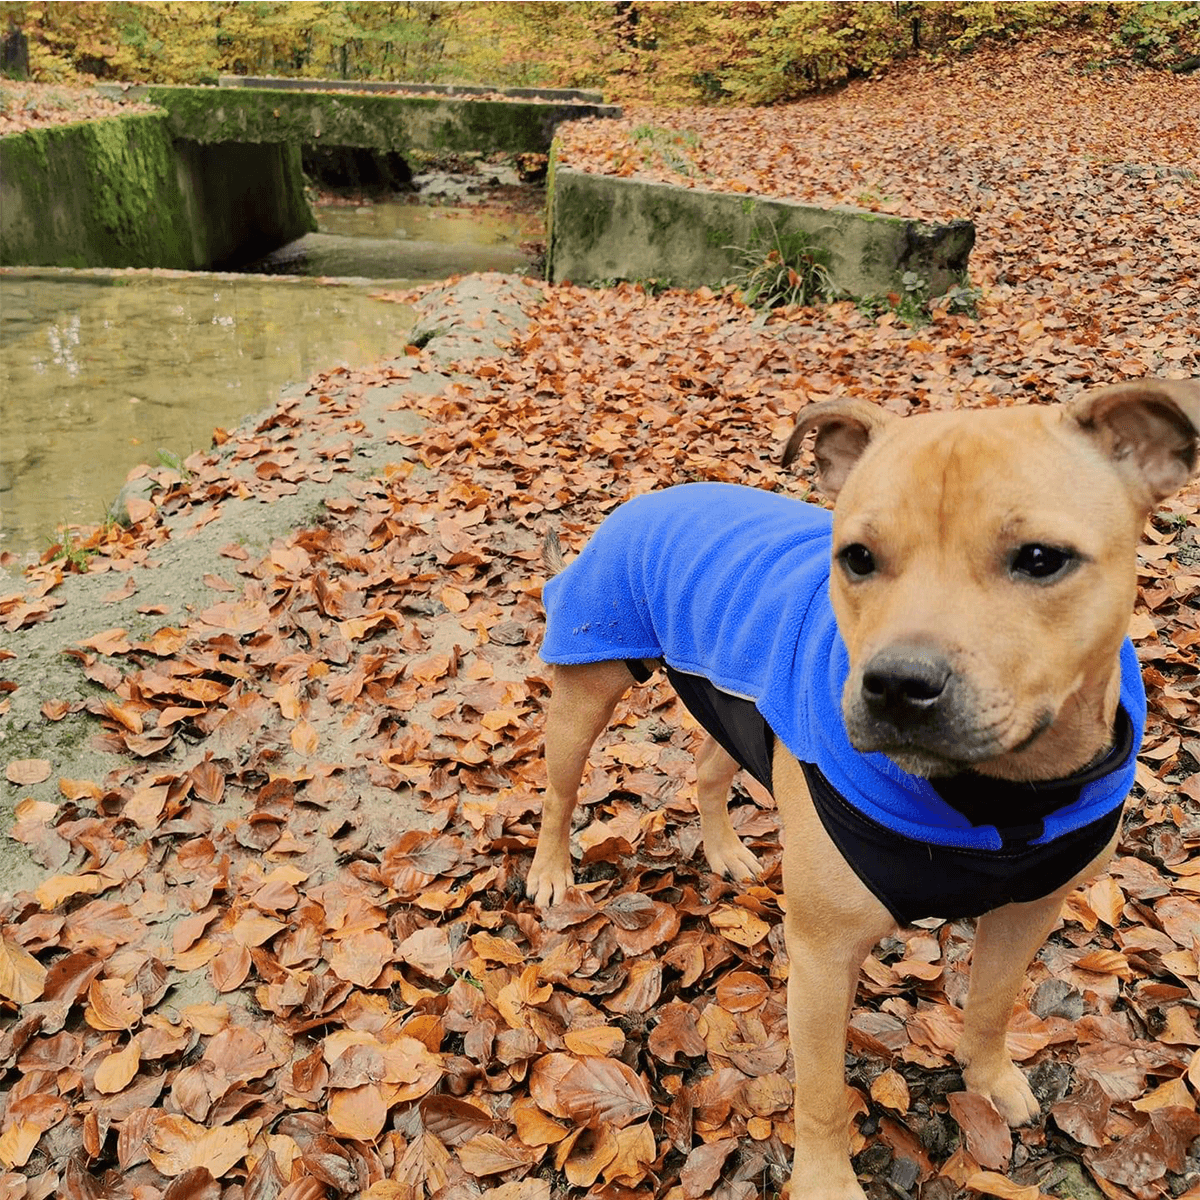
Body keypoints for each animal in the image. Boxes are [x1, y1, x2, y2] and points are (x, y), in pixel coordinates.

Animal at [535, 381, 1200, 1200]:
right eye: (856, 557)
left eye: (1042, 559)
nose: (899, 683)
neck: (995, 798)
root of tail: (653, 496)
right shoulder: (823, 959)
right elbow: (821, 1091)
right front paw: (825, 1179)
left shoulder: (1029, 911)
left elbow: (991, 1003)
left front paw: (989, 1078)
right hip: (588, 685)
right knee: (559, 789)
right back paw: (551, 870)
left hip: (737, 711)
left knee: (708, 771)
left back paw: (726, 852)